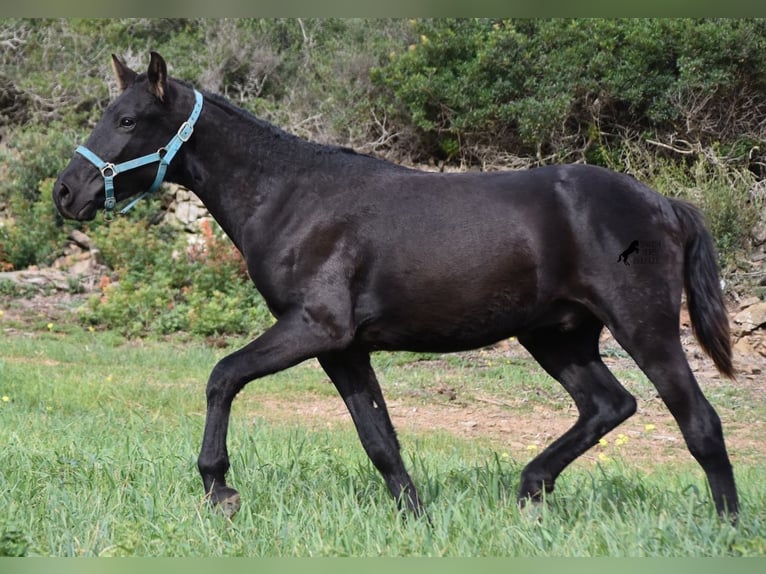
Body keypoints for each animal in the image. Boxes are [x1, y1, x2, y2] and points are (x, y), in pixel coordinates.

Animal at [51, 54, 740, 520]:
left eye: (128, 119)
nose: (65, 193)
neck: (291, 196)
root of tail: (664, 204)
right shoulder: (343, 348)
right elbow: (379, 438)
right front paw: (416, 516)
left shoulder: (314, 327)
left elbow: (223, 376)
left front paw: (219, 486)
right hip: (558, 336)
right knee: (608, 406)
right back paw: (528, 489)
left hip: (643, 326)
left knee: (698, 421)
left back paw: (725, 527)